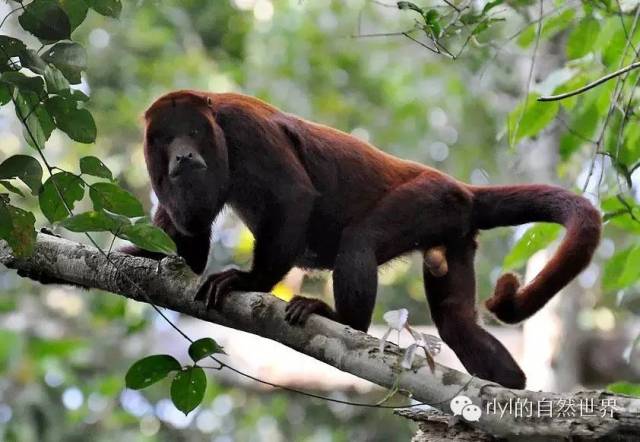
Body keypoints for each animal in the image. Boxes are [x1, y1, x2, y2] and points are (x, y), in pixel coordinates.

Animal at [126, 89, 602, 389]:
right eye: (166, 138)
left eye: (193, 131)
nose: (184, 155)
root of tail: (461, 190)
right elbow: (189, 239)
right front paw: (139, 251)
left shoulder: (244, 128)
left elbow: (293, 195)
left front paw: (250, 281)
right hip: (453, 235)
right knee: (455, 322)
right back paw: (506, 388)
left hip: (429, 199)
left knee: (360, 239)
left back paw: (342, 319)